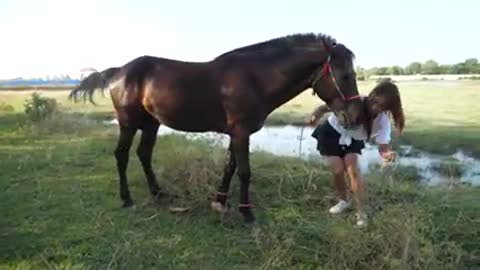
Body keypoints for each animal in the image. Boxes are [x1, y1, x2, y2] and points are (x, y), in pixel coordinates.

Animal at [67, 32, 362, 224]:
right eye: (346, 76)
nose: (354, 116)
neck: (254, 78)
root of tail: (118, 71)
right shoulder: (241, 133)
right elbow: (244, 171)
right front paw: (246, 212)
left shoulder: (236, 134)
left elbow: (229, 167)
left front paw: (219, 202)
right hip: (128, 123)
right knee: (122, 155)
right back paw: (126, 199)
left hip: (151, 124)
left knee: (144, 154)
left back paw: (159, 193)